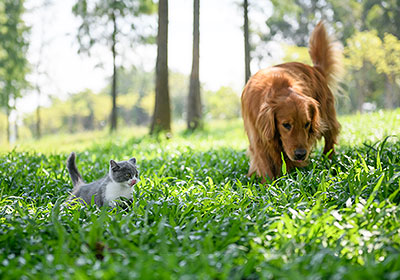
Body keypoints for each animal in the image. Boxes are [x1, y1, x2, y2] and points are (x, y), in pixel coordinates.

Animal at [242, 21, 342, 179]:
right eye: (286, 125)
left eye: (307, 124)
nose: (301, 154)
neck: (276, 87)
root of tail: (316, 69)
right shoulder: (258, 139)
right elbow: (265, 165)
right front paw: (270, 183)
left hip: (327, 117)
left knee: (330, 138)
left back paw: (328, 161)